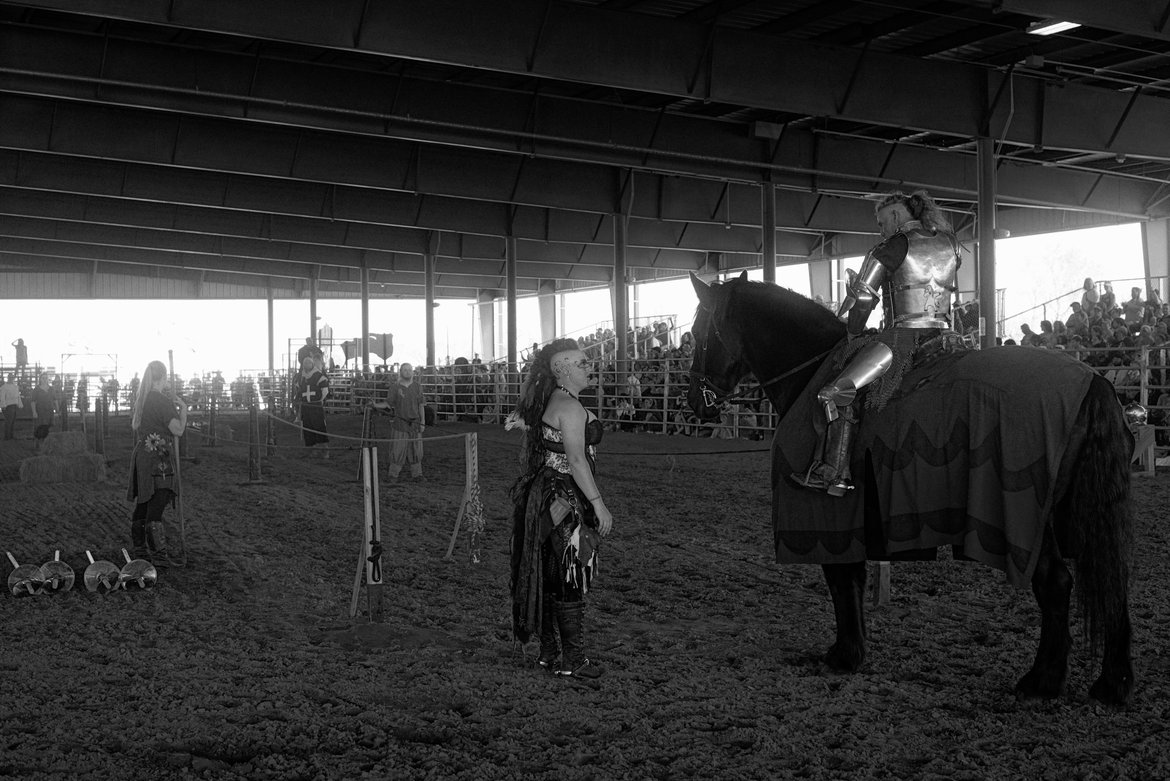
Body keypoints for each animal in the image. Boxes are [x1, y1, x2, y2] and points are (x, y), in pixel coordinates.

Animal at [683, 271, 1132, 706]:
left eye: (699, 330)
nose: (694, 402)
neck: (812, 373)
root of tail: (1092, 381)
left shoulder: (829, 516)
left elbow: (840, 578)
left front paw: (845, 655)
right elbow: (853, 579)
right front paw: (852, 650)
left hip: (1029, 518)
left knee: (1055, 583)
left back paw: (1043, 680)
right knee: (1110, 581)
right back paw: (1111, 682)